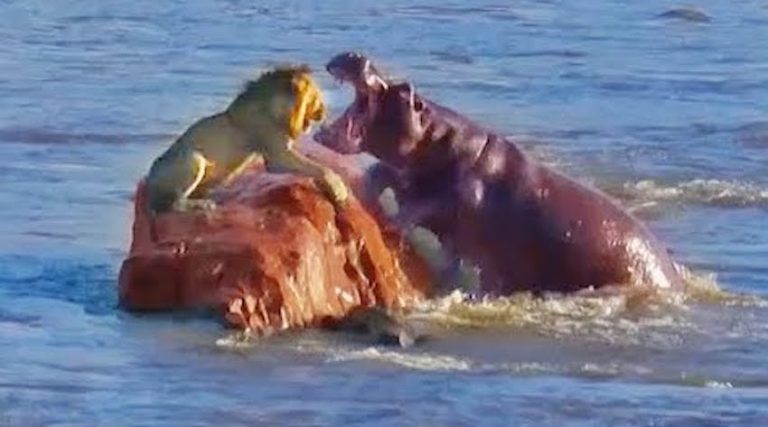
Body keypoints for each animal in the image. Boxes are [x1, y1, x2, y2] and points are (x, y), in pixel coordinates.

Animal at [145, 65, 349, 214]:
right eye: (317, 99)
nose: (325, 113)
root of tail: (148, 182)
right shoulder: (277, 156)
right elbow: (322, 168)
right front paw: (339, 189)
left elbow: (315, 165)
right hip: (193, 159)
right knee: (173, 205)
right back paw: (202, 205)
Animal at [315, 52, 682, 294]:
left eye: (405, 89)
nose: (358, 56)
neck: (437, 136)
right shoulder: (408, 174)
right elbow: (383, 173)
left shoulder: (463, 195)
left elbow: (431, 203)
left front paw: (393, 223)